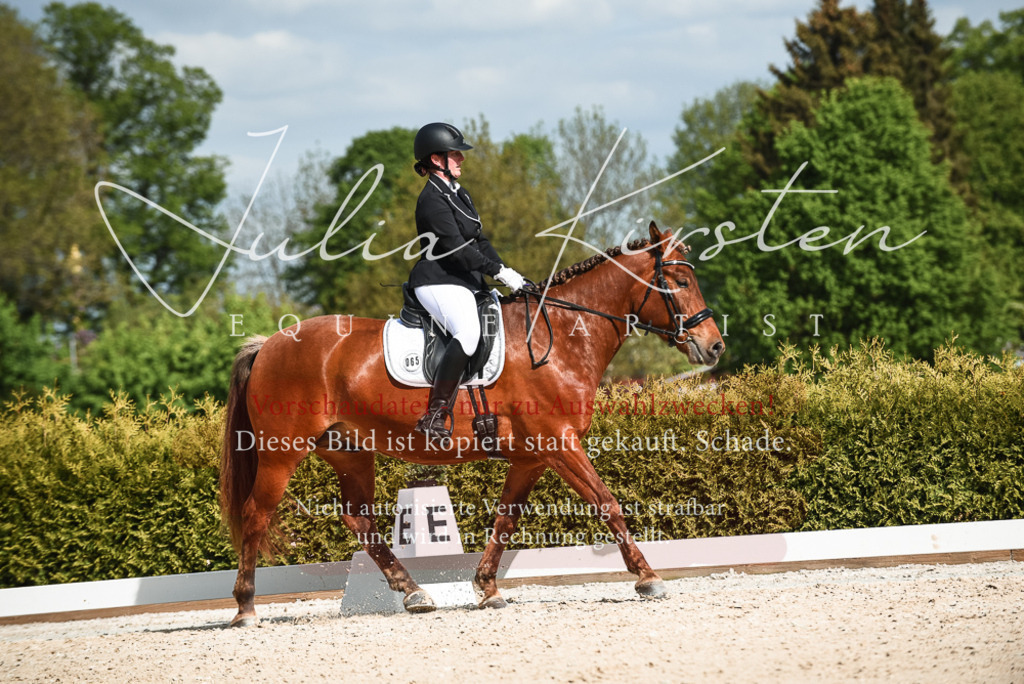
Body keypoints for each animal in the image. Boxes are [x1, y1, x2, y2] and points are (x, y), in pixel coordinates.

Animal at [220, 221, 725, 626]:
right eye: (680, 280)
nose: (714, 346)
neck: (560, 338)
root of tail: (269, 343)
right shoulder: (560, 444)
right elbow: (607, 503)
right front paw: (648, 578)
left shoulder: (532, 458)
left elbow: (506, 519)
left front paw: (487, 589)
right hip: (282, 451)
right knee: (255, 513)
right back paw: (245, 608)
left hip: (349, 451)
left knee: (358, 518)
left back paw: (414, 593)